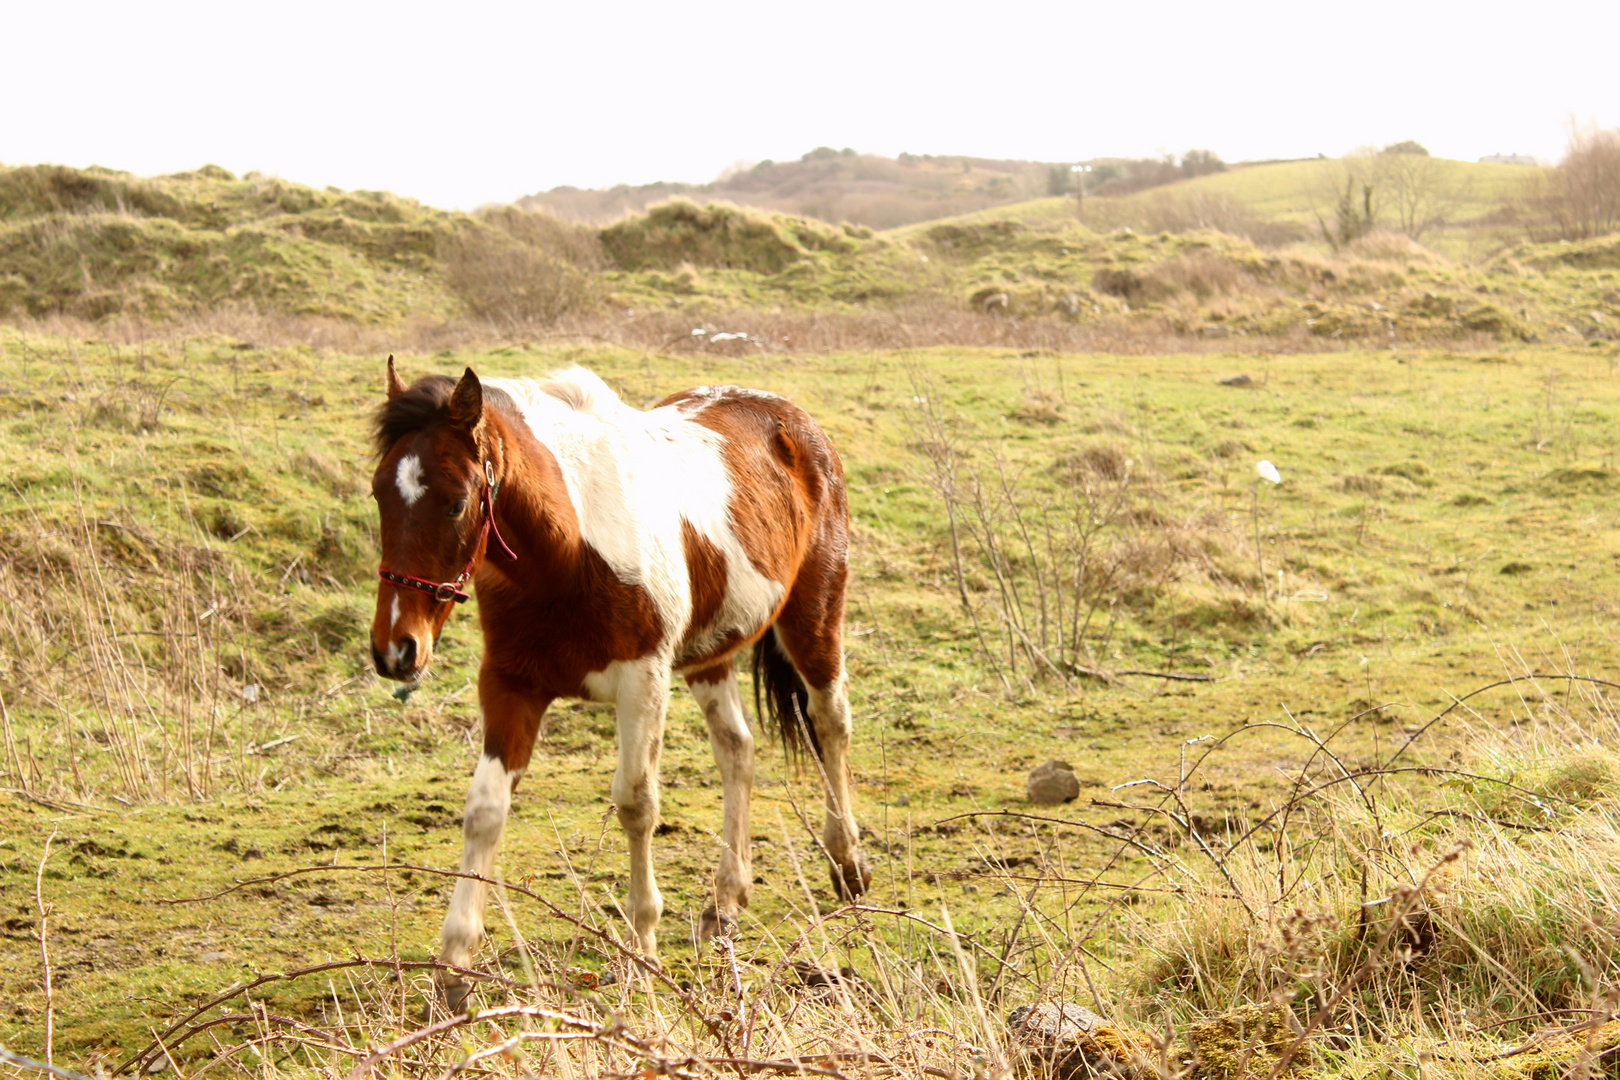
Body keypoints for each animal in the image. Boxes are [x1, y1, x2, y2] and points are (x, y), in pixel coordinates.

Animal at [370, 359, 874, 1003]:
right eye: (379, 493)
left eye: (457, 503)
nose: (396, 650)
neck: (568, 550)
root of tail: (794, 420)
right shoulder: (510, 684)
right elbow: (485, 809)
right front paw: (454, 965)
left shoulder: (643, 682)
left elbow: (636, 803)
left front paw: (641, 947)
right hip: (710, 656)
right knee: (737, 750)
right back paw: (725, 901)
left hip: (813, 619)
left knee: (830, 723)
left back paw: (847, 865)